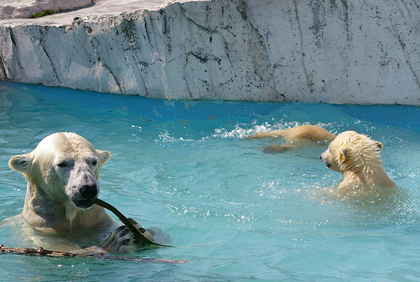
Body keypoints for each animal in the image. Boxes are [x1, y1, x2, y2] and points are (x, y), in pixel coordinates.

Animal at [6, 132, 154, 253]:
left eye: (93, 161)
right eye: (62, 164)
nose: (88, 189)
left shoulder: (98, 221)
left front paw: (140, 230)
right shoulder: (43, 229)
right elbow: (65, 249)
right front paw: (115, 242)